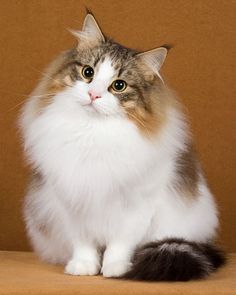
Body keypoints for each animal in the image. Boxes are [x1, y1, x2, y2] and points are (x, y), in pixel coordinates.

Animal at [18, 13, 225, 282]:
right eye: (88, 72)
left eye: (119, 86)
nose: (94, 95)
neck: (93, 133)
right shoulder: (71, 200)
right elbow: (83, 242)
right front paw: (84, 266)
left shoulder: (137, 205)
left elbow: (120, 244)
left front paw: (116, 267)